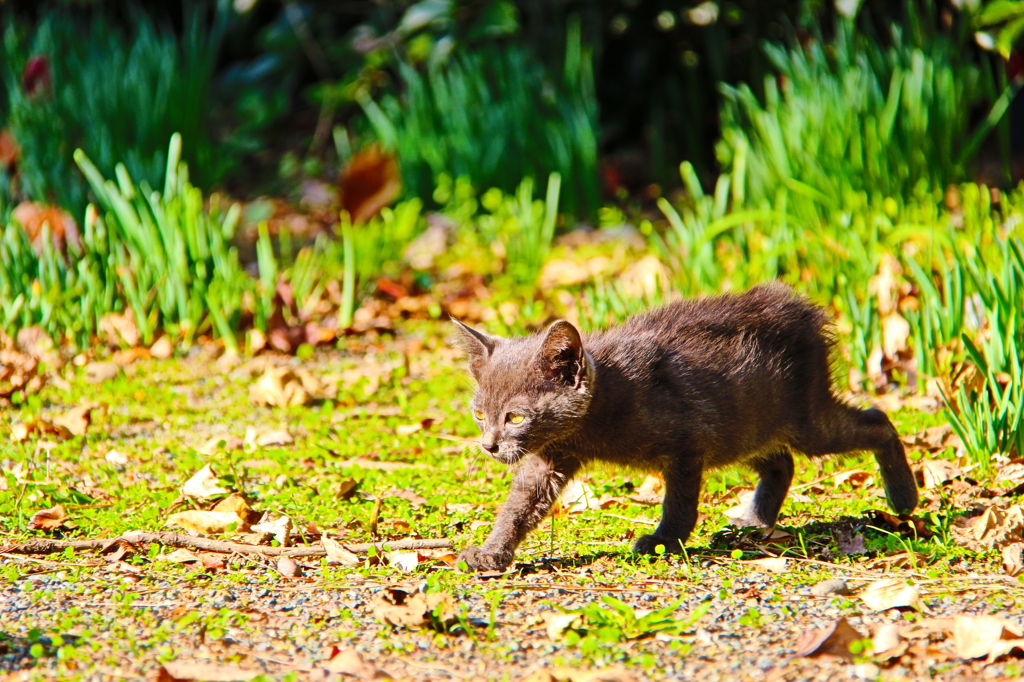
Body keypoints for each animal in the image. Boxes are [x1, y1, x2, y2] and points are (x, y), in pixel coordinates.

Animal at [456, 280, 921, 569]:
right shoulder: (552, 455)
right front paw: (492, 552)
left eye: (515, 417)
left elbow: (678, 501)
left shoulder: (688, 441)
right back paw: (755, 521)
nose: (489, 445)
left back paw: (903, 498)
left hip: (800, 420)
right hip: (746, 425)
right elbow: (521, 503)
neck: (601, 409)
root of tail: (798, 306)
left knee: (876, 420)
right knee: (781, 462)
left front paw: (663, 541)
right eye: (479, 414)